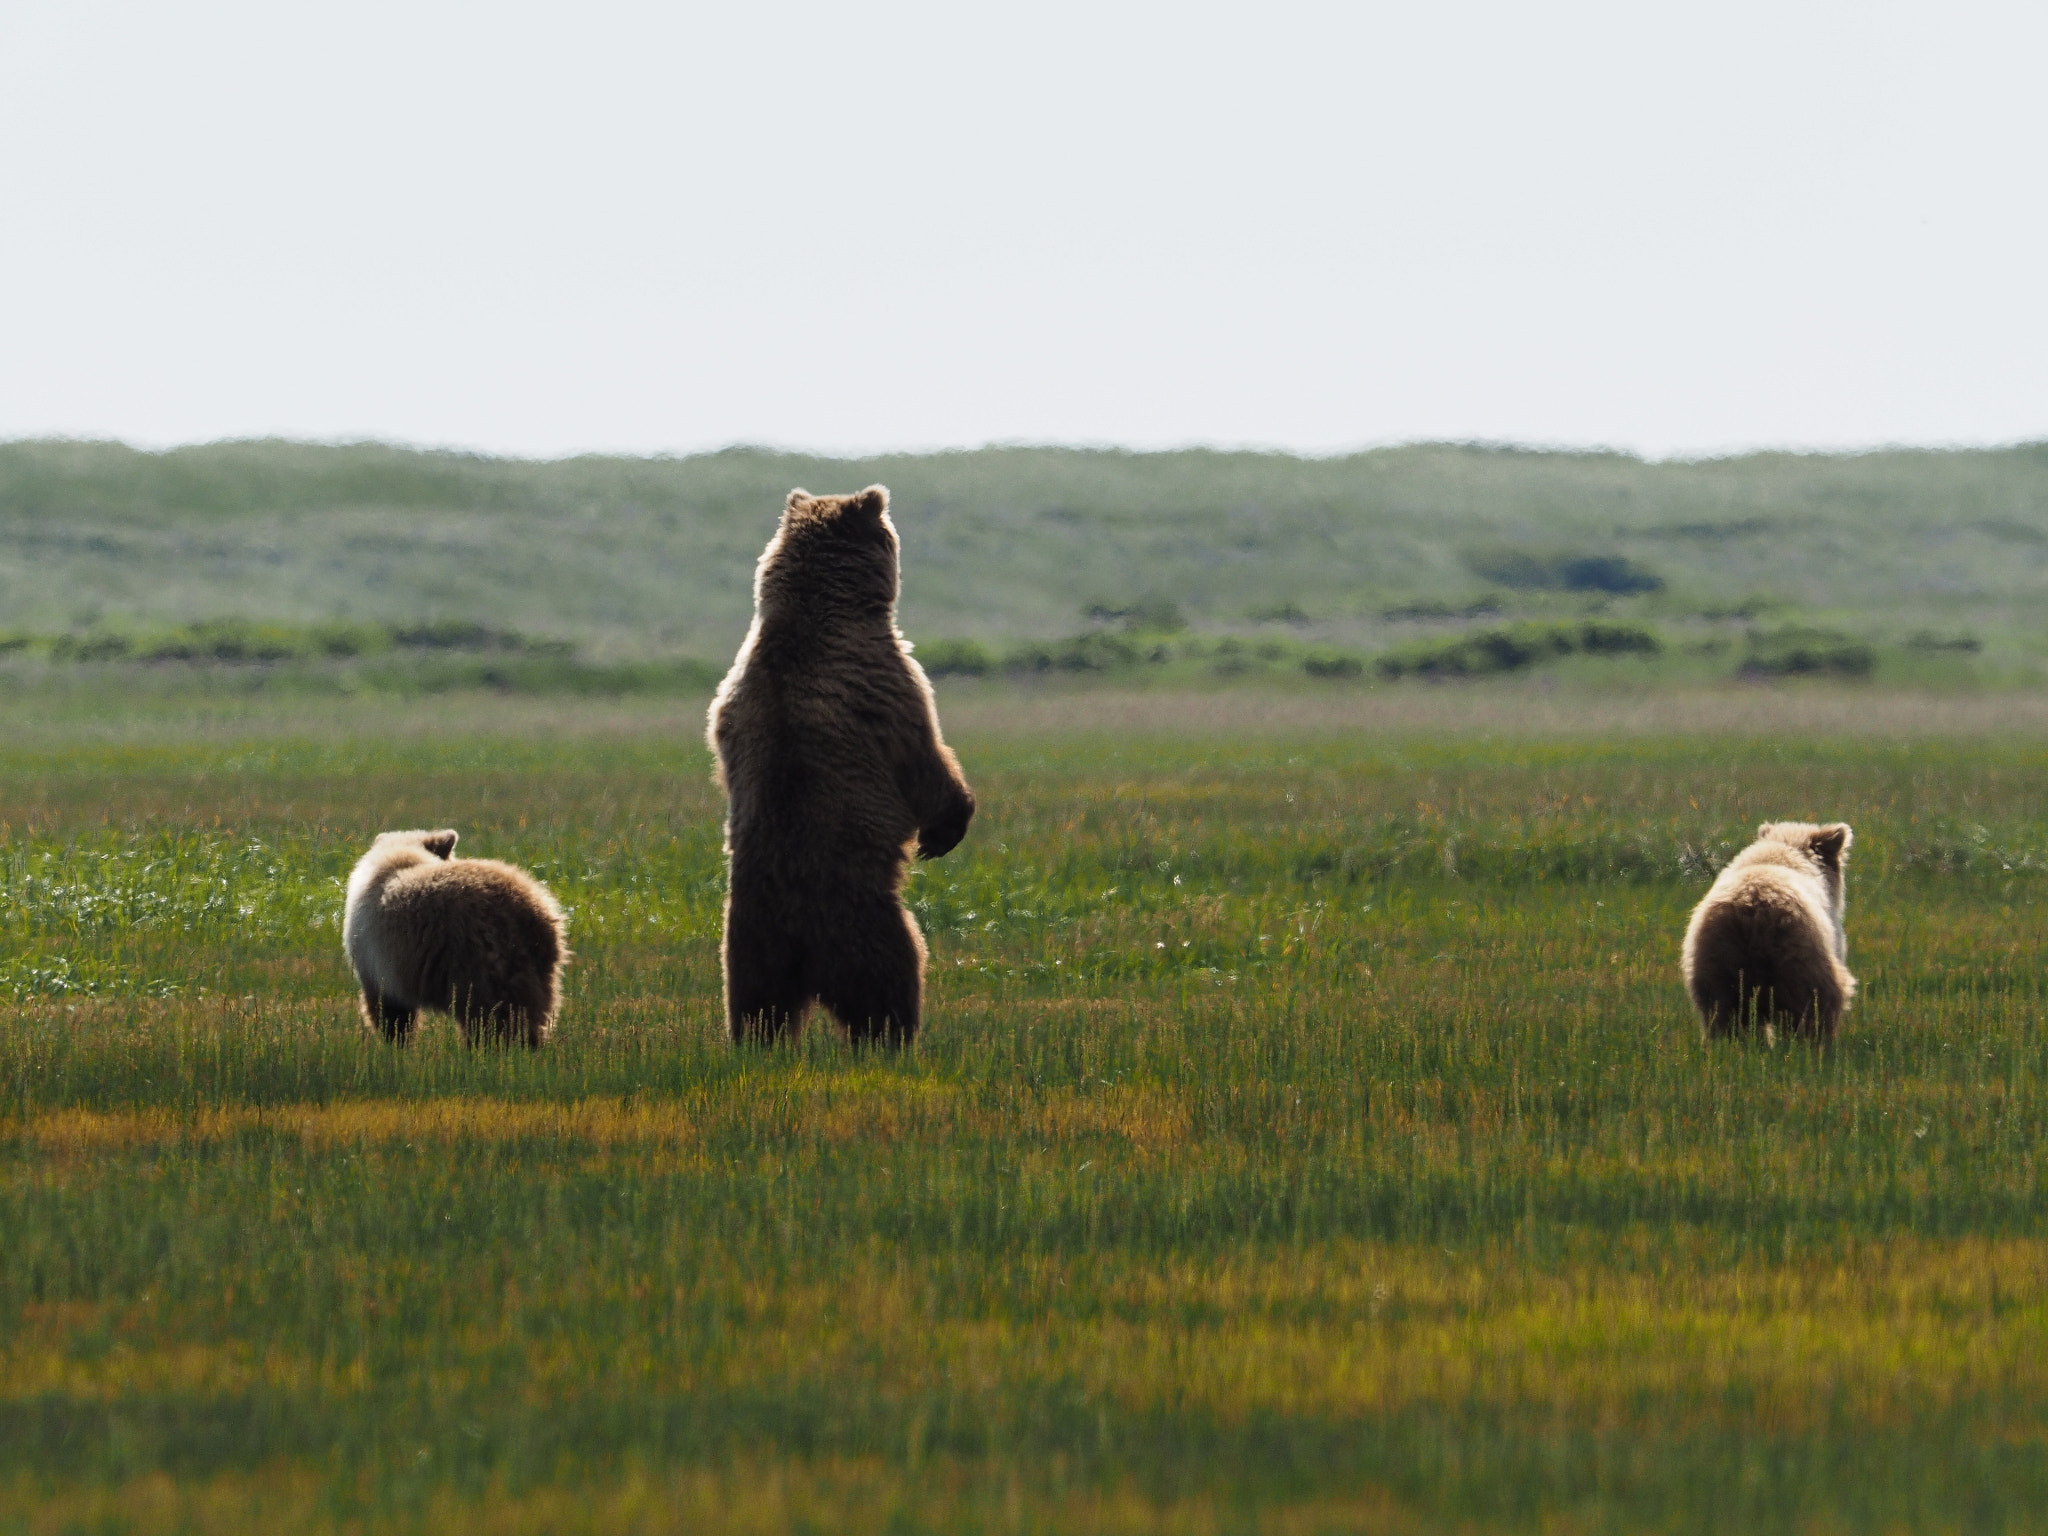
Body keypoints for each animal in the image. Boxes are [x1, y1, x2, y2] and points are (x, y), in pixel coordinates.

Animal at [712, 487, 974, 1056]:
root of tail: (802, 946)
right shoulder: (890, 683)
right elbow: (925, 757)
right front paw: (946, 828)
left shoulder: (731, 703)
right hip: (863, 919)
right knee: (892, 978)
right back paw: (896, 1040)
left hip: (746, 939)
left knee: (754, 1002)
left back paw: (753, 1043)